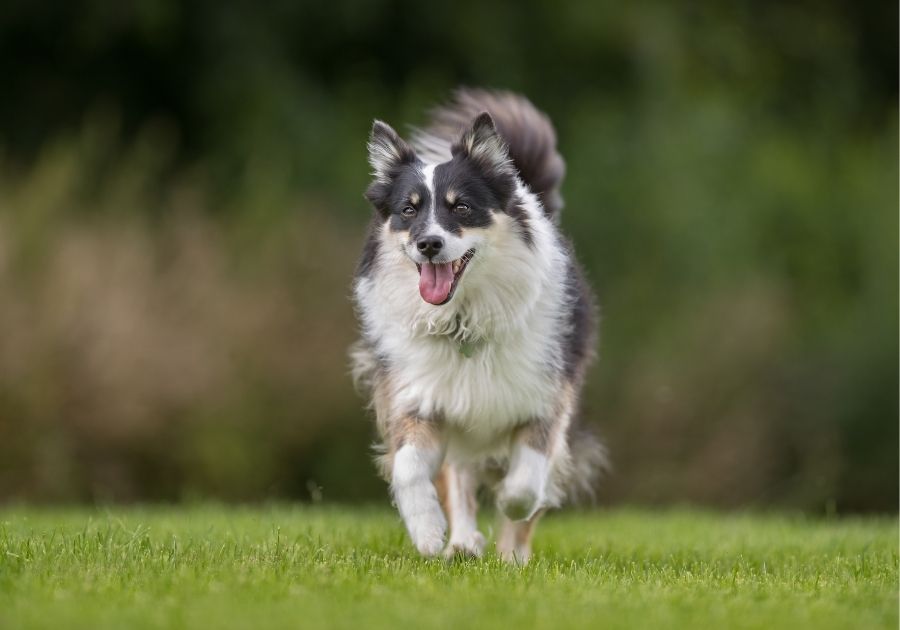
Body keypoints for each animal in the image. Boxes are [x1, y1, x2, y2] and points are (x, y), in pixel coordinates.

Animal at [352, 87, 604, 564]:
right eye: (408, 211)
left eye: (462, 207)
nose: (428, 244)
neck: (463, 320)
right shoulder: (418, 394)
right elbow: (409, 467)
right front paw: (428, 533)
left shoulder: (545, 398)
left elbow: (526, 484)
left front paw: (509, 506)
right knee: (459, 476)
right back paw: (463, 543)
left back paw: (511, 555)